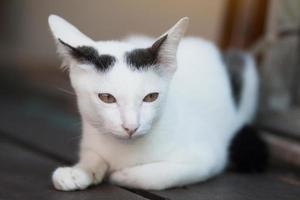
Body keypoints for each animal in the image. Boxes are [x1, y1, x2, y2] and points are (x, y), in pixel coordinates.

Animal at [48, 14, 258, 190]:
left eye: (151, 97)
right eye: (107, 98)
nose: (131, 127)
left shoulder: (209, 158)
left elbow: (159, 176)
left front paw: (121, 175)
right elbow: (93, 155)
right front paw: (79, 171)